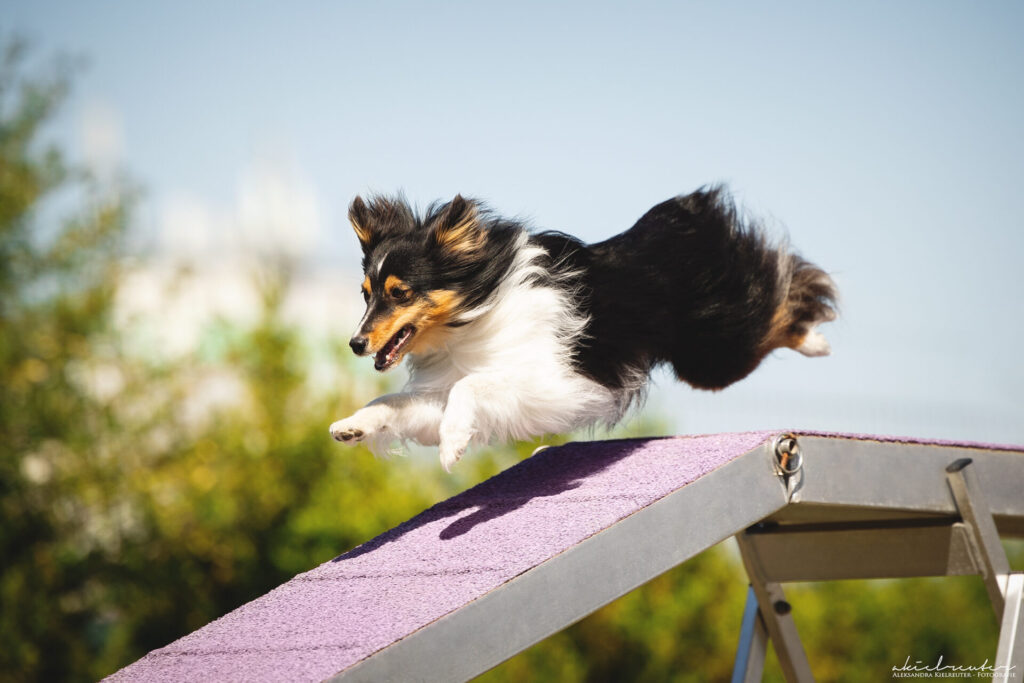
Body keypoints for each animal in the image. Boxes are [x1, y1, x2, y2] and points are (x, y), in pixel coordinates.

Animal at [331, 188, 835, 475]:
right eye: (365, 294)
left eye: (400, 293)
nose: (356, 344)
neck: (476, 311)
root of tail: (679, 224)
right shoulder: (455, 387)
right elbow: (395, 402)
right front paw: (350, 427)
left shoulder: (553, 382)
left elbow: (471, 388)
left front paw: (453, 446)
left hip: (714, 356)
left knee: (780, 292)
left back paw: (817, 339)